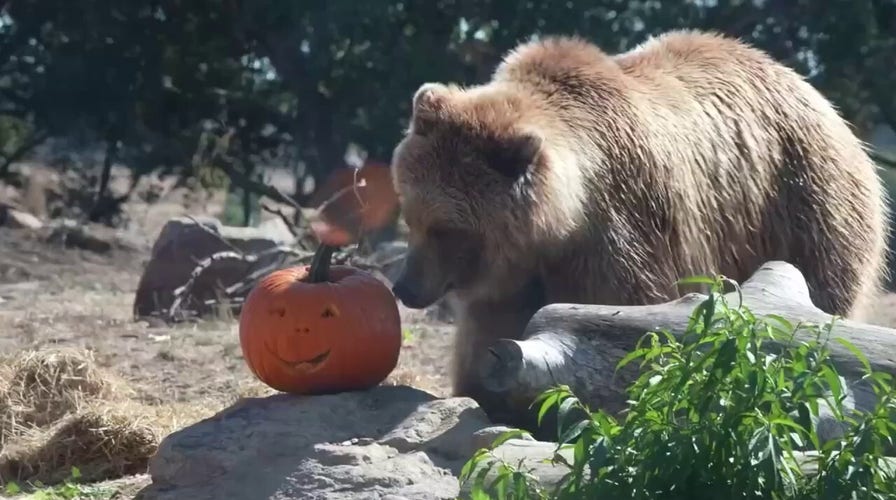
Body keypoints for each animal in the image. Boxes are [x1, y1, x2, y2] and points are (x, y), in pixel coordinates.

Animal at [388, 28, 892, 402]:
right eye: (410, 216)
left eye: (447, 228)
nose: (404, 288)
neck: (558, 228)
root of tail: (816, 96)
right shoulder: (516, 275)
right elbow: (490, 333)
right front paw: (480, 385)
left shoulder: (624, 234)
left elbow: (625, 322)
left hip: (801, 202)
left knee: (823, 290)